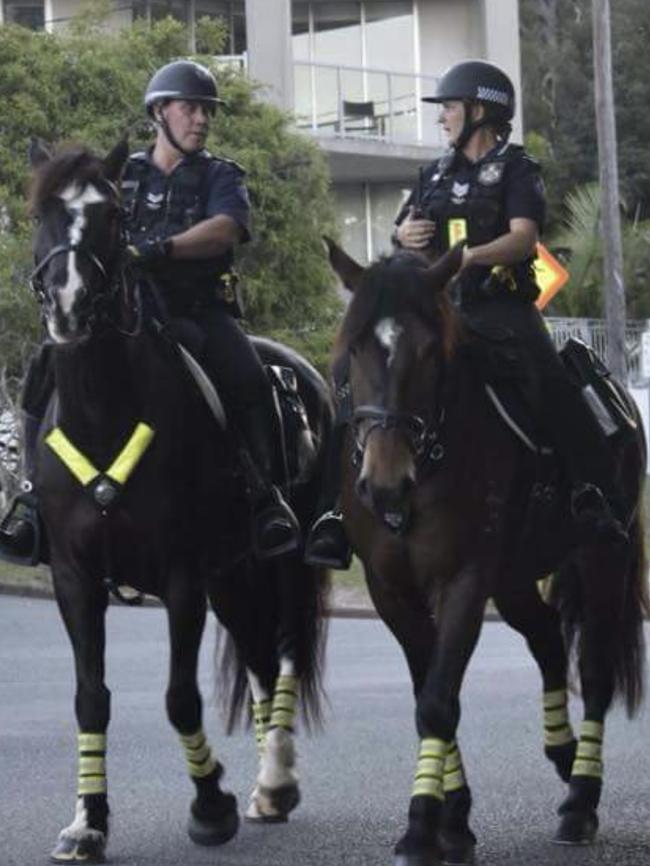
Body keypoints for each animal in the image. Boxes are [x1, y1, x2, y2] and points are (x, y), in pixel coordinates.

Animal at [23, 138, 332, 860]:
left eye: (112, 216)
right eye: (42, 211)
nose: (68, 304)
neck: (103, 410)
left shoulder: (182, 576)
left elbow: (180, 697)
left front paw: (210, 805)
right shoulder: (76, 578)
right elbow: (91, 697)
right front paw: (88, 821)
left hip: (277, 564)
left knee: (278, 656)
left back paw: (274, 781)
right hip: (234, 574)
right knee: (257, 658)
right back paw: (269, 788)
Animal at [326, 240, 644, 864]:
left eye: (429, 352)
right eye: (354, 348)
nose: (385, 486)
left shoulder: (464, 582)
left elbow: (437, 700)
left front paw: (422, 827)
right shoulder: (390, 591)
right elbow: (428, 690)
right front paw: (454, 820)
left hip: (601, 558)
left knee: (595, 671)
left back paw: (581, 799)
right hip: (515, 579)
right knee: (547, 638)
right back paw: (563, 753)